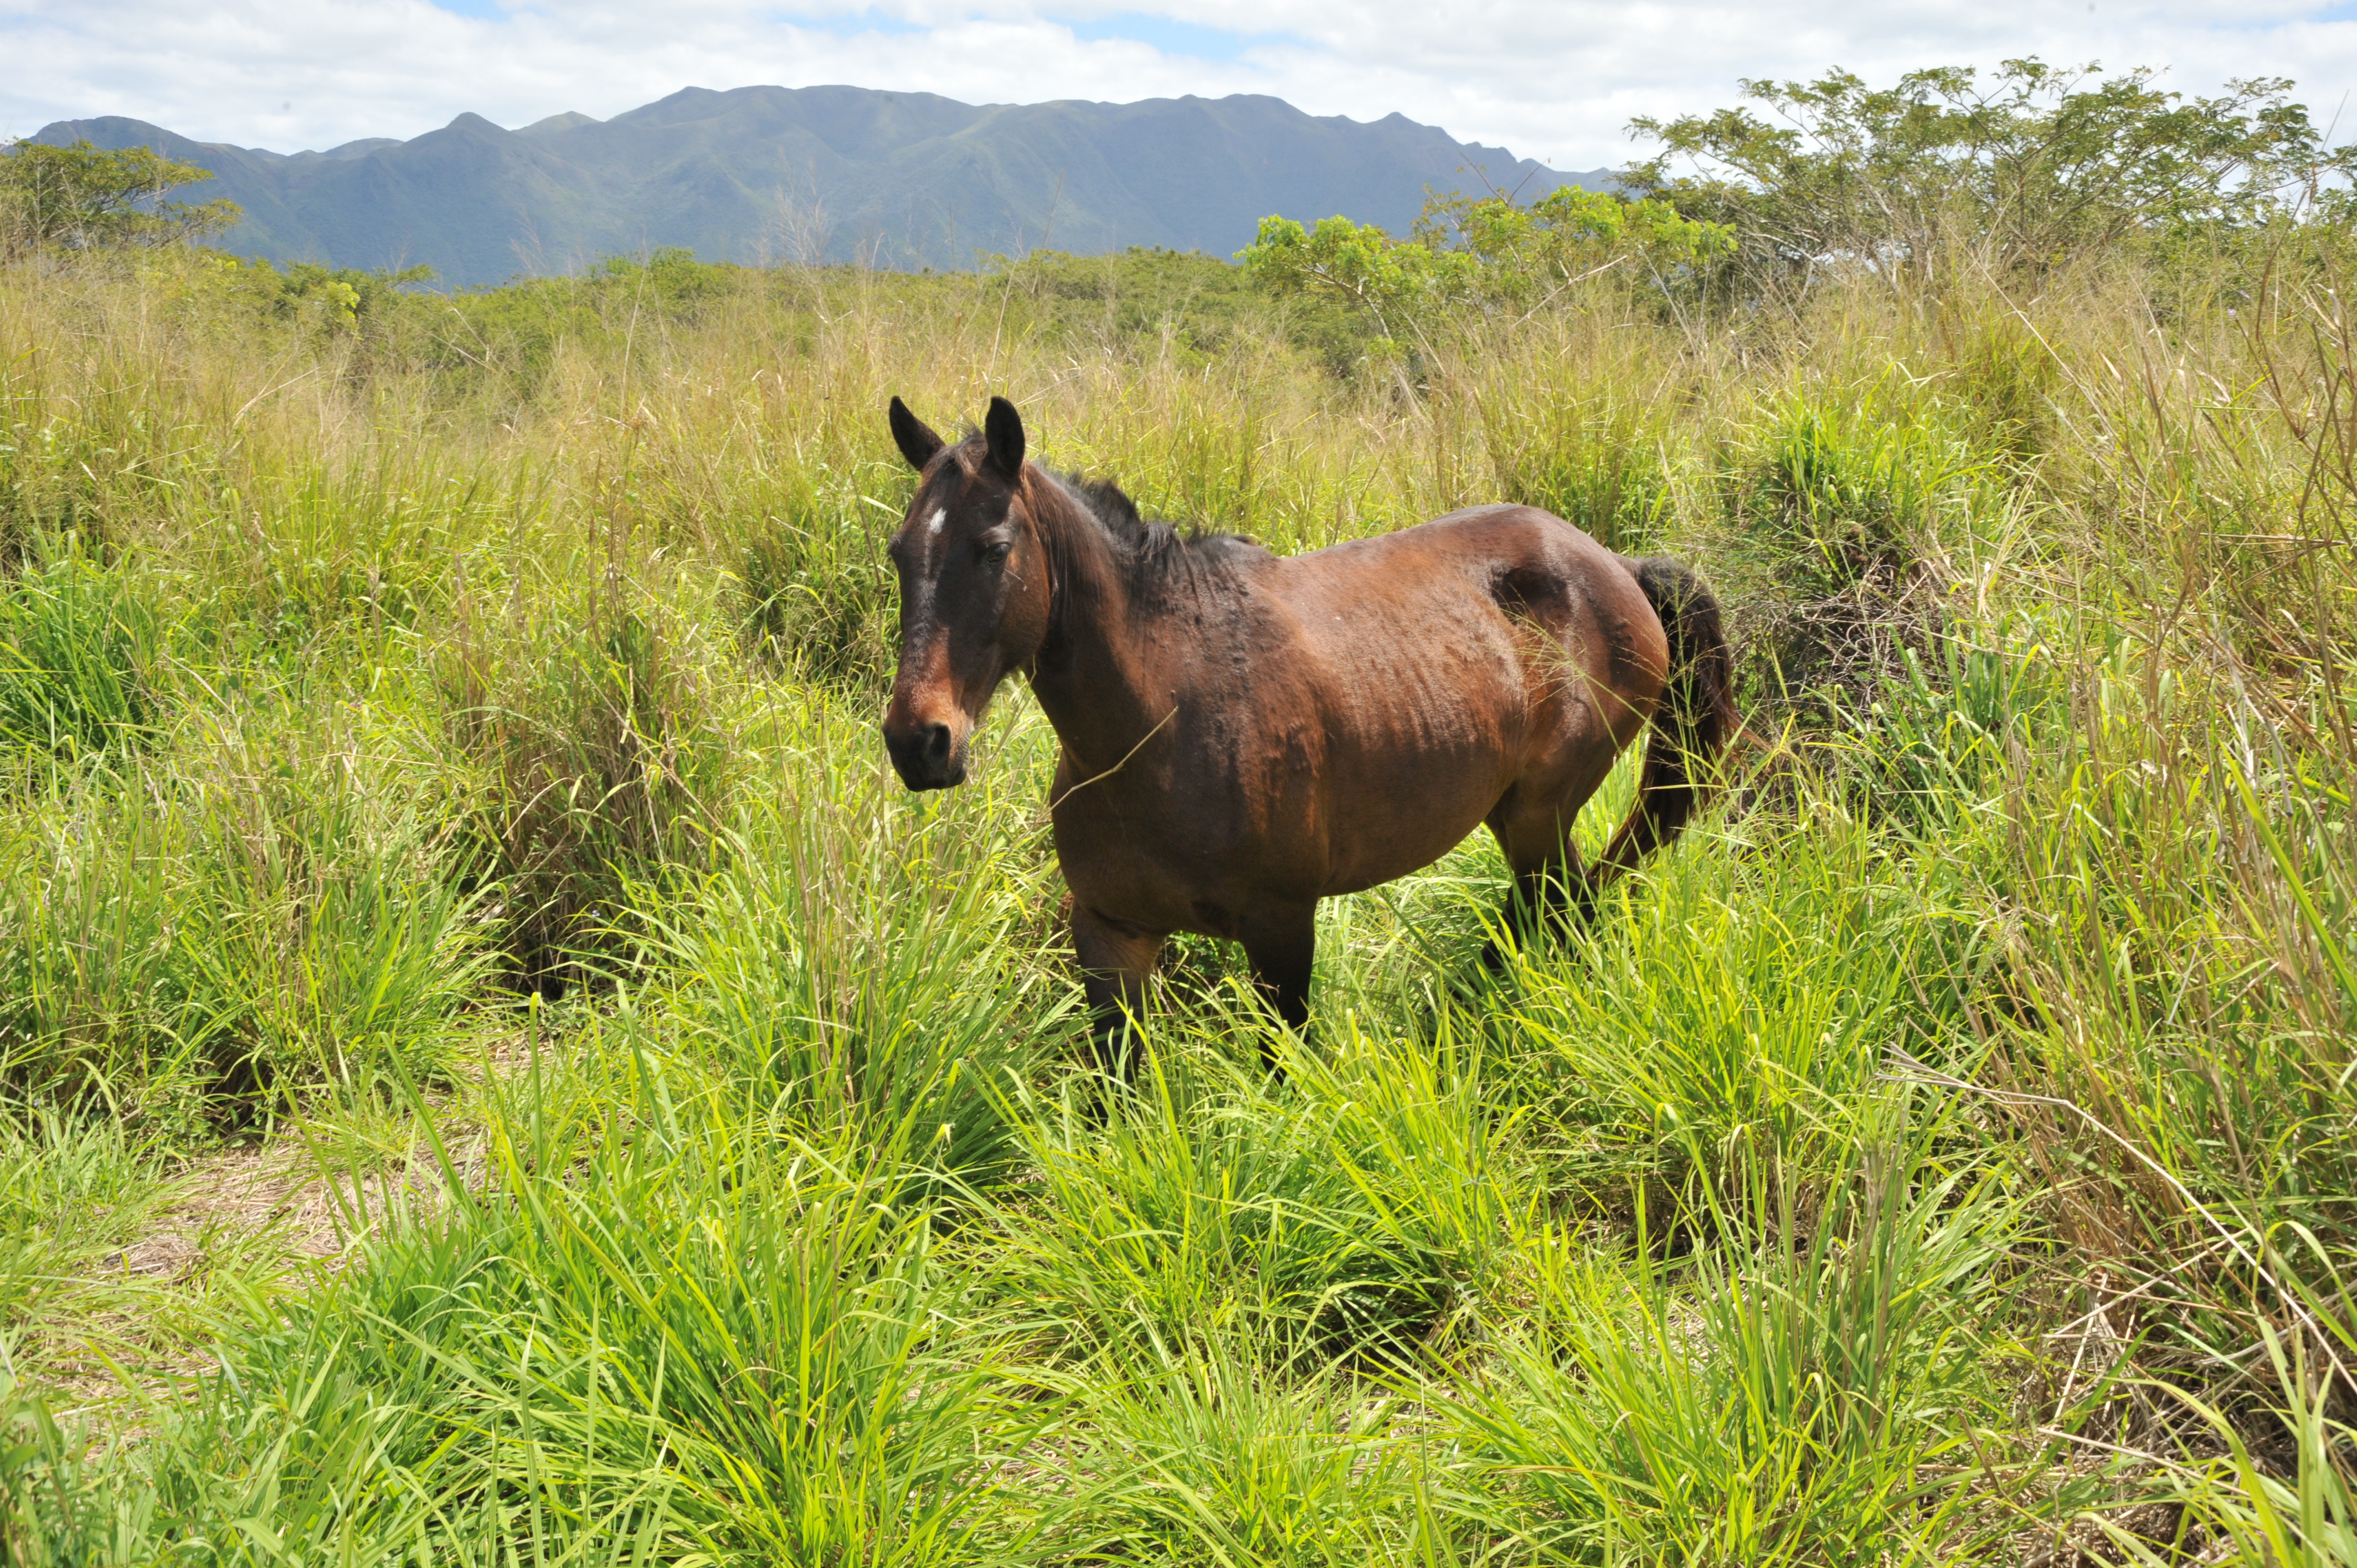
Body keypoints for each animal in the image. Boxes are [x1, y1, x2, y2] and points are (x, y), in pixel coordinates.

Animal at [886, 394, 1735, 1075]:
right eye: (899, 553)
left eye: (995, 551)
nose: (917, 742)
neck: (1161, 721)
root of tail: (1614, 565)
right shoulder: (1110, 935)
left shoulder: (1281, 930)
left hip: (1539, 815)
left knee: (1560, 913)